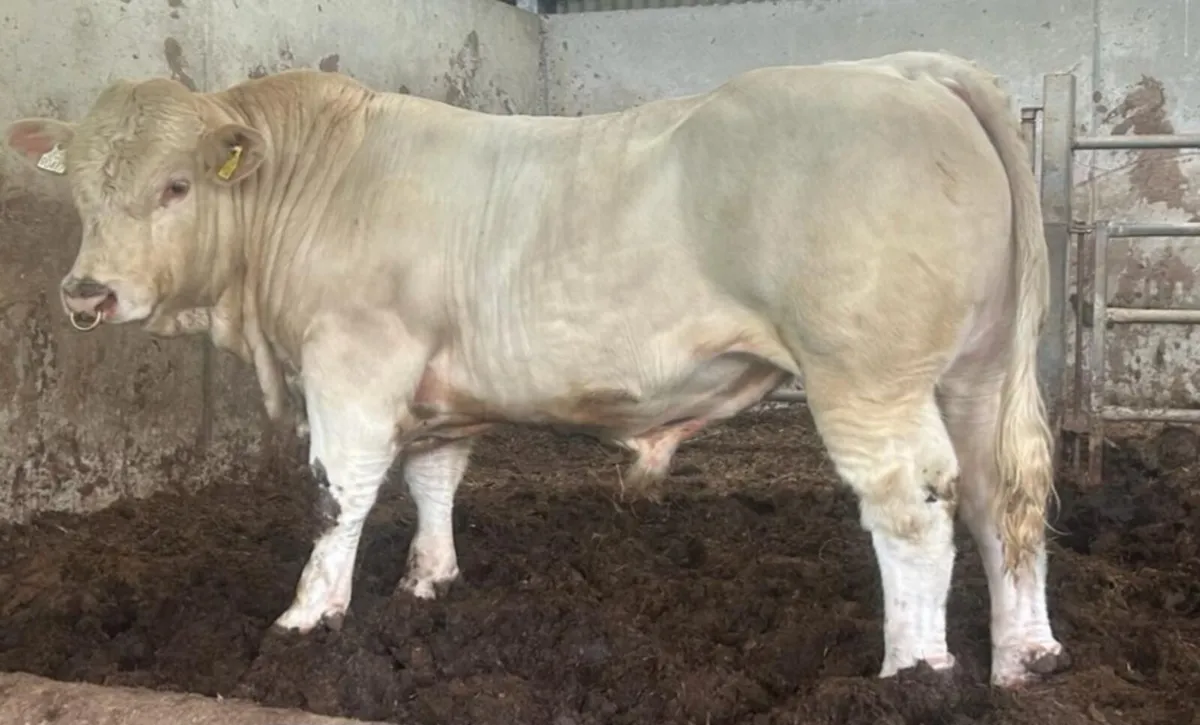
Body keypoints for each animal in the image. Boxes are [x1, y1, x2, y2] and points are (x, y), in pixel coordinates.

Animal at [5, 50, 1066, 687]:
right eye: (84, 189)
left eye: (175, 185)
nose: (86, 294)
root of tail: (902, 66)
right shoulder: (436, 383)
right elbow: (434, 477)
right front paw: (428, 586)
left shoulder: (353, 360)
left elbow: (337, 490)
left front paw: (307, 618)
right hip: (977, 369)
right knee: (1001, 496)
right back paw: (1024, 658)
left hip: (867, 376)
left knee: (914, 508)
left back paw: (913, 673)